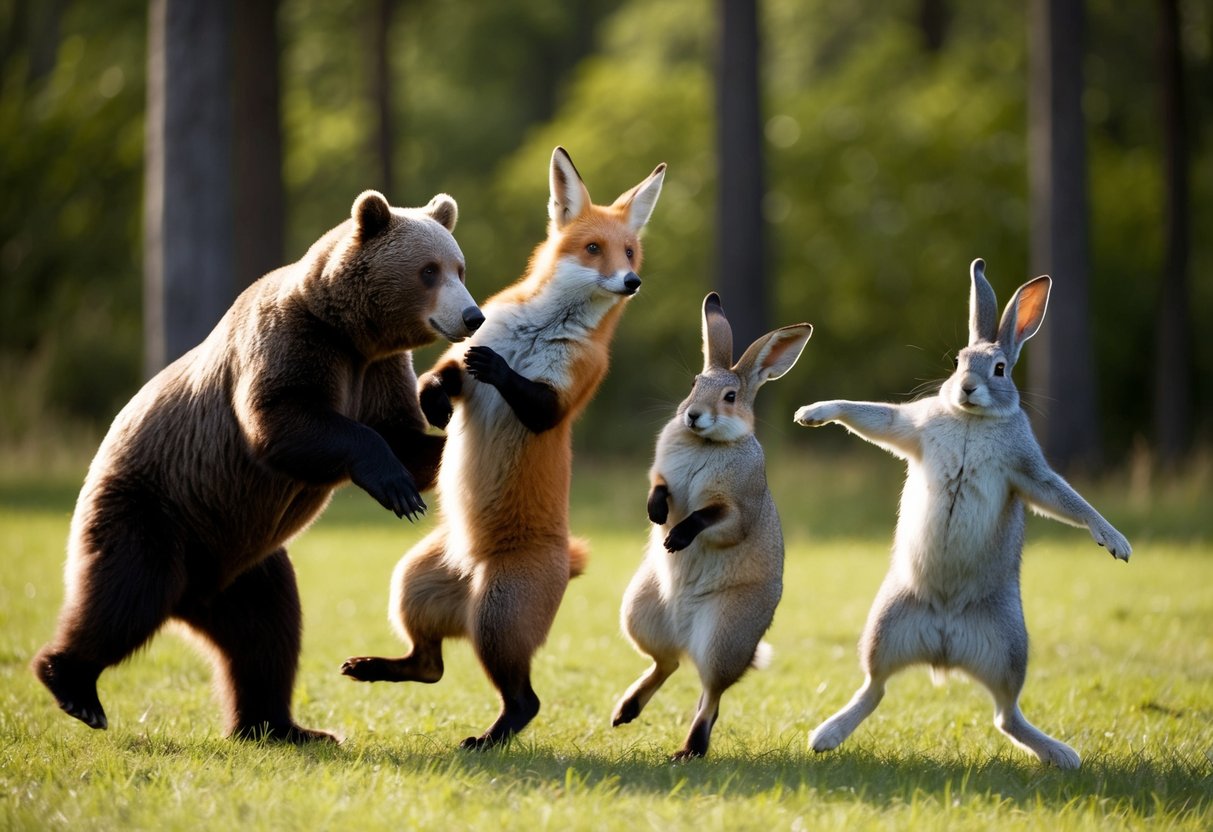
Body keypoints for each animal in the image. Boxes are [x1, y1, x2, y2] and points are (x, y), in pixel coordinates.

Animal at [31, 189, 484, 743]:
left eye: (459, 267)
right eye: (428, 271)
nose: (472, 316)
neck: (349, 334)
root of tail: (192, 596)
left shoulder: (377, 370)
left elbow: (402, 437)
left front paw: (449, 454)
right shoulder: (291, 345)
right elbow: (281, 420)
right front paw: (399, 491)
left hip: (245, 561)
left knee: (266, 633)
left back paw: (284, 726)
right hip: (156, 510)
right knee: (126, 594)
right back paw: (72, 684)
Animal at [342, 147, 666, 749]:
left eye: (630, 252)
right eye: (594, 248)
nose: (631, 280)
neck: (538, 333)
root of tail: (472, 574)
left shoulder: (563, 399)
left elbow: (522, 389)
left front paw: (497, 367)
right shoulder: (462, 361)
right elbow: (444, 376)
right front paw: (437, 405)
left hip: (495, 623)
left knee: (524, 701)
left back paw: (488, 739)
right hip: (413, 586)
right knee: (430, 667)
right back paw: (375, 668)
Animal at [612, 292, 812, 760]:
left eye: (731, 395)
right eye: (692, 384)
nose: (693, 416)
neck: (705, 444)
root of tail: (686, 633)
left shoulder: (734, 511)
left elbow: (708, 518)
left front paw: (675, 539)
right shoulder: (663, 477)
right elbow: (660, 489)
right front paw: (656, 515)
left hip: (722, 635)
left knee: (711, 694)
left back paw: (688, 749)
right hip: (640, 613)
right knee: (667, 663)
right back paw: (625, 712)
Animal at [793, 258, 1131, 769]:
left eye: (1000, 369)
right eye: (957, 362)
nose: (968, 388)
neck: (973, 419)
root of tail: (944, 646)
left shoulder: (1029, 471)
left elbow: (1067, 499)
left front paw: (1115, 542)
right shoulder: (910, 427)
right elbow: (874, 416)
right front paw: (811, 412)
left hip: (1010, 649)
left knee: (1004, 715)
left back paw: (1062, 756)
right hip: (885, 627)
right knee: (876, 688)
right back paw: (826, 736)